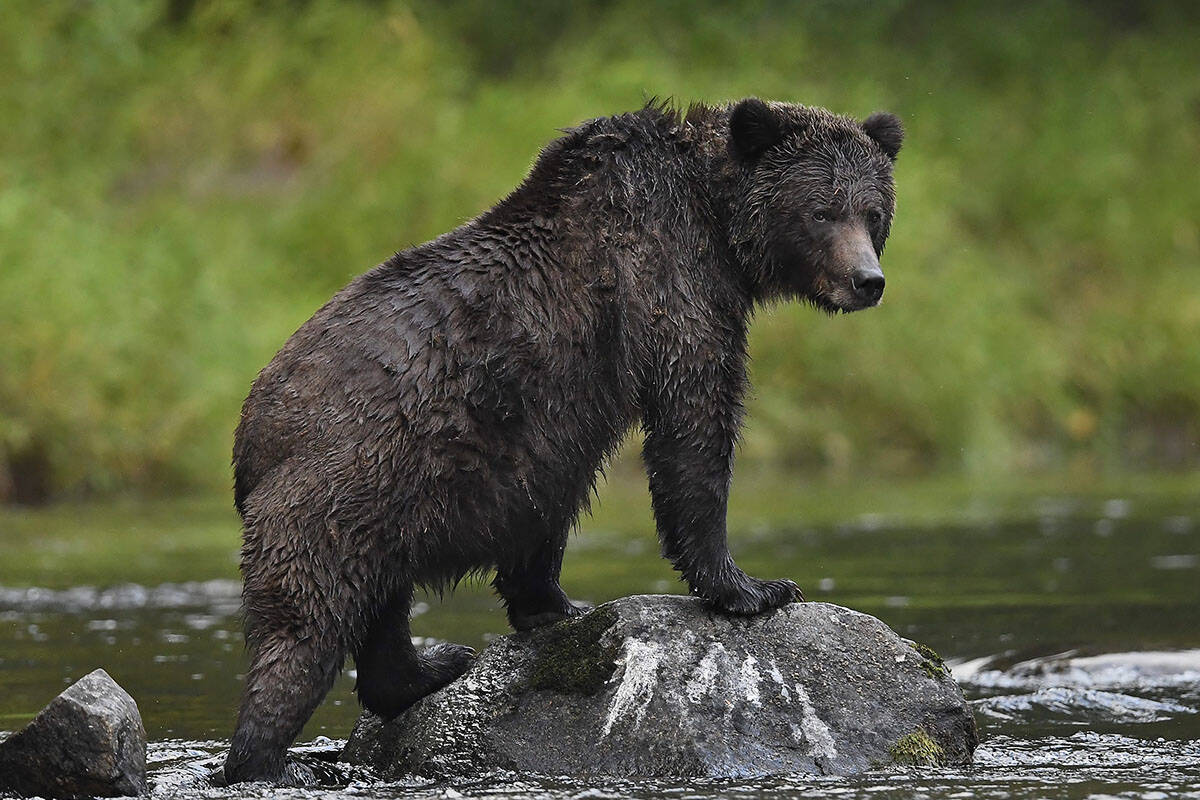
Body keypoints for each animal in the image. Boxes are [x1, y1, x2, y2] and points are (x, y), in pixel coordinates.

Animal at [225, 98, 902, 782]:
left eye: (872, 212)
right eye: (822, 211)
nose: (866, 279)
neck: (718, 220)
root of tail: (249, 433)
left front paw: (553, 604)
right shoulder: (673, 282)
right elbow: (694, 422)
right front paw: (753, 589)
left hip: (397, 497)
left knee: (387, 603)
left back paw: (437, 665)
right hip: (346, 481)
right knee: (305, 625)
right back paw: (263, 755)